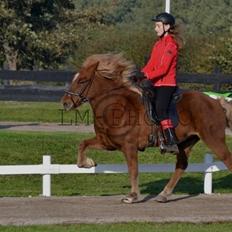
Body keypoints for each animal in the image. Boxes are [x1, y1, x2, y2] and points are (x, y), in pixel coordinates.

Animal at [61, 52, 232, 203]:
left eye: (82, 81)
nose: (65, 103)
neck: (116, 106)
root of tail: (216, 101)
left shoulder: (129, 146)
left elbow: (133, 169)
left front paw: (132, 196)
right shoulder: (107, 143)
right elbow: (83, 144)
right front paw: (87, 163)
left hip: (213, 139)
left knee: (227, 159)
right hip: (186, 142)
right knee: (181, 165)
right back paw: (163, 195)